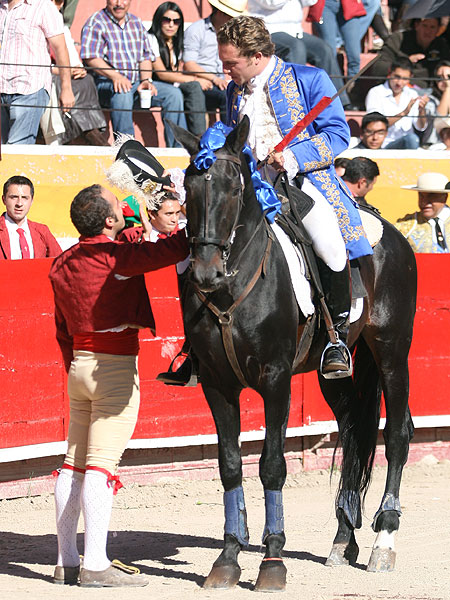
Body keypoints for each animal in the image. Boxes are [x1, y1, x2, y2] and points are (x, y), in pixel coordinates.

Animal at [171, 117, 416, 592]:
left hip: (392, 350)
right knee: (354, 433)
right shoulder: (217, 383)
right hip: (335, 372)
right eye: (188, 186)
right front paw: (227, 559)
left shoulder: (275, 379)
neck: (233, 286)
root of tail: (391, 232)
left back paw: (384, 541)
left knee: (397, 434)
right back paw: (343, 540)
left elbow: (271, 465)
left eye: (234, 187)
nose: (206, 272)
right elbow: (230, 465)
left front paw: (271, 561)